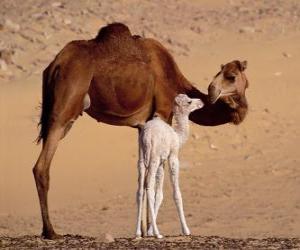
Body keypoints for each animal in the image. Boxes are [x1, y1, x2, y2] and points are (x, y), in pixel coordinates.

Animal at [32, 22, 250, 239]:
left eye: (235, 78)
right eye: (228, 76)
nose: (212, 92)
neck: (171, 78)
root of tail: (55, 65)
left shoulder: (143, 126)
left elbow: (142, 177)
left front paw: (144, 230)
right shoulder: (163, 113)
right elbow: (156, 180)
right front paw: (153, 230)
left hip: (57, 115)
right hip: (65, 108)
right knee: (41, 167)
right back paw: (51, 231)